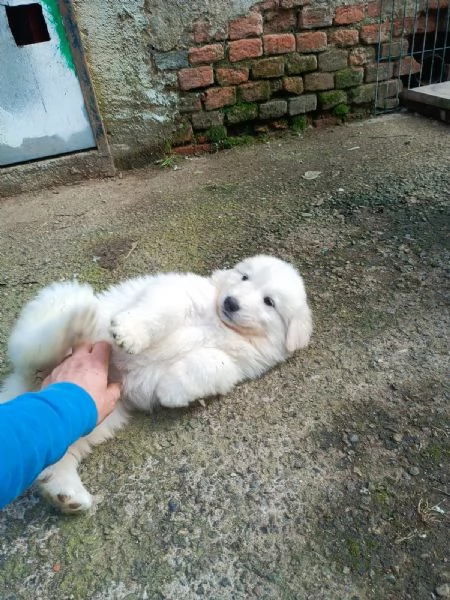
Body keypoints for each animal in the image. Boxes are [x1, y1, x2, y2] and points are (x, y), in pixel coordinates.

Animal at [0, 253, 312, 510]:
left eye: (269, 302)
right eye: (244, 277)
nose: (231, 303)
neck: (220, 323)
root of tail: (24, 387)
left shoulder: (236, 365)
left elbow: (212, 364)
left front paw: (170, 390)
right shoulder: (178, 292)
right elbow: (162, 311)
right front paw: (130, 333)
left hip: (98, 414)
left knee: (56, 448)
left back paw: (65, 493)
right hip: (55, 309)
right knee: (34, 345)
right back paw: (75, 323)